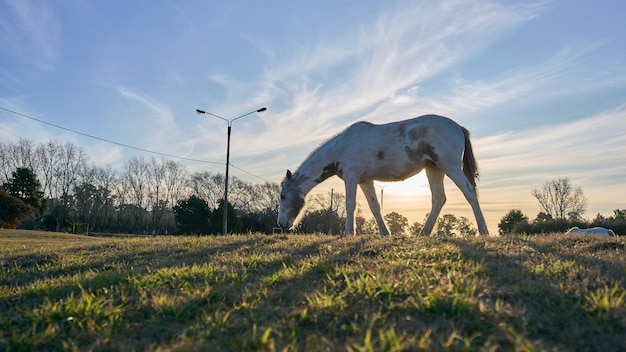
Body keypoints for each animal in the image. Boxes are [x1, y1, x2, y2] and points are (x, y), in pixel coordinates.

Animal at [276, 115, 488, 236]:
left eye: (283, 196)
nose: (281, 224)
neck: (340, 149)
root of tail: (458, 127)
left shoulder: (352, 178)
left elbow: (350, 205)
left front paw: (348, 233)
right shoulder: (365, 181)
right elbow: (375, 207)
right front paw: (385, 233)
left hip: (449, 166)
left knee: (469, 192)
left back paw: (483, 230)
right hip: (434, 169)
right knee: (438, 199)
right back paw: (423, 233)